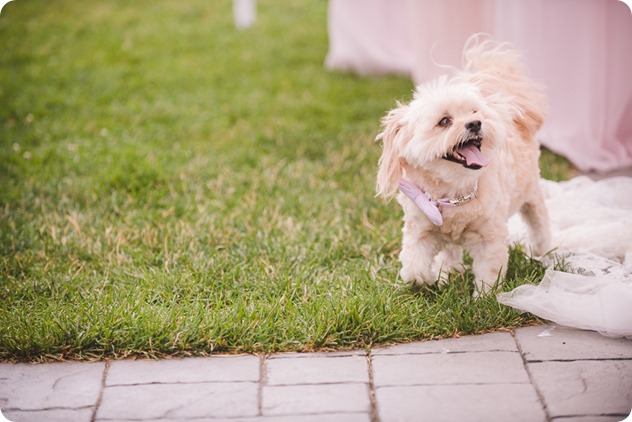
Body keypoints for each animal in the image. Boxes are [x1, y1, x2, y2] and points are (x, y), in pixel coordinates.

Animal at [378, 38, 552, 296]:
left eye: (474, 111)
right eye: (444, 121)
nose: (475, 123)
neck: (453, 193)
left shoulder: (489, 237)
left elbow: (489, 272)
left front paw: (484, 298)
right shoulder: (420, 231)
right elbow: (413, 268)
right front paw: (428, 277)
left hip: (531, 194)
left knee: (540, 225)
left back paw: (544, 253)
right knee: (451, 250)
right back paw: (449, 270)